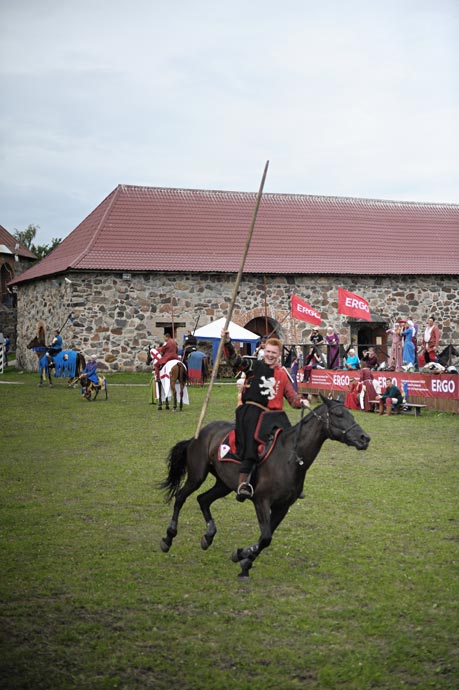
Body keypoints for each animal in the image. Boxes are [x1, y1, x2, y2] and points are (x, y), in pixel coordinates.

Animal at [160, 396, 372, 576]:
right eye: (338, 414)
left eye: (351, 414)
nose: (365, 438)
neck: (288, 458)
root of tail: (200, 432)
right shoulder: (261, 501)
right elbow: (265, 537)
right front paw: (242, 557)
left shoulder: (282, 507)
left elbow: (265, 539)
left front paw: (244, 558)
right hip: (197, 476)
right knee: (181, 497)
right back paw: (168, 538)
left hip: (224, 484)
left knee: (203, 499)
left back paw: (208, 536)